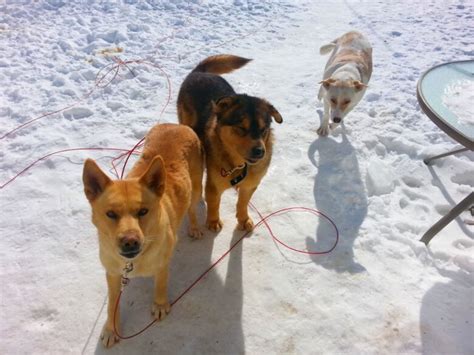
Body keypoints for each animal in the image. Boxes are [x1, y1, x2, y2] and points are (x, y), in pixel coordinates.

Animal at [82, 124, 204, 350]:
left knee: (192, 208)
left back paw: (194, 227)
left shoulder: (162, 264)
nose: (130, 241)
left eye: (143, 211)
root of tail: (176, 125)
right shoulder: (113, 273)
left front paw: (160, 304)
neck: (132, 262)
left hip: (195, 190)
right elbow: (112, 304)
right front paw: (111, 329)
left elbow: (160, 285)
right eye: (110, 214)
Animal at [177, 54, 282, 234]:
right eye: (241, 128)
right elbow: (214, 204)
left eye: (264, 129)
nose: (259, 152)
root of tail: (199, 72)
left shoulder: (250, 185)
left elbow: (243, 203)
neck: (239, 164)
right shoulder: (213, 185)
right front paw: (213, 221)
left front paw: (243, 219)